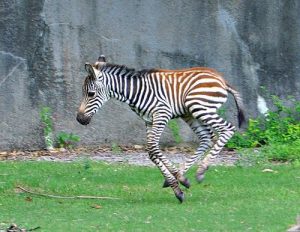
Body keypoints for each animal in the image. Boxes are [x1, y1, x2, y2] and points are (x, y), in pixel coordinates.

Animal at [77, 55, 246, 202]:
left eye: (91, 94)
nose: (79, 119)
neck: (136, 91)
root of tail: (222, 79)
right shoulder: (149, 121)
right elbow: (152, 153)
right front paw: (176, 186)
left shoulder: (162, 115)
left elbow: (153, 148)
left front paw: (180, 179)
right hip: (191, 113)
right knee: (206, 137)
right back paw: (191, 171)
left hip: (199, 107)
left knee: (227, 129)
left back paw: (201, 170)